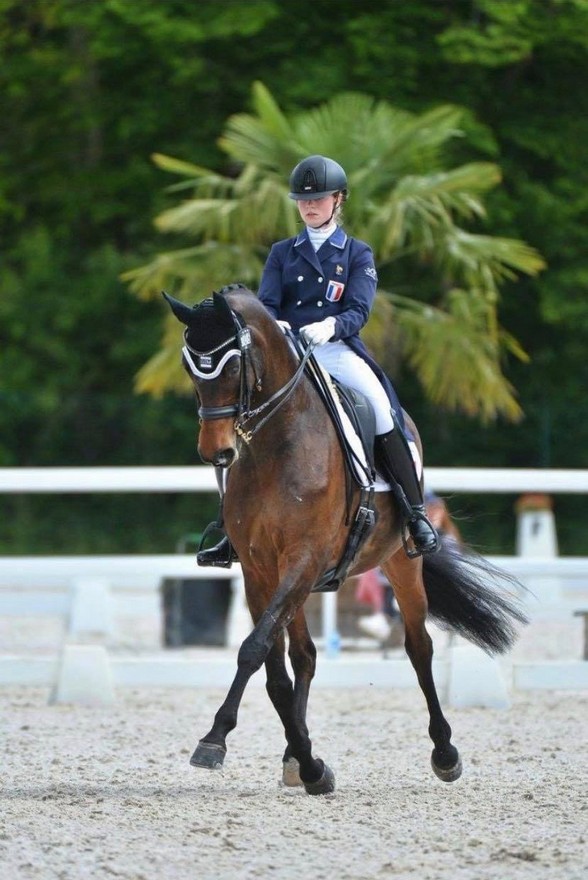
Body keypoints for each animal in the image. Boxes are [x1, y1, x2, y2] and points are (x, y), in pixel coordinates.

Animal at [163, 284, 524, 796]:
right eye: (190, 366)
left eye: (232, 365)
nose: (217, 452)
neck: (278, 443)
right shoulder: (259, 570)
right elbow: (272, 666)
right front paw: (309, 763)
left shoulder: (304, 559)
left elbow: (254, 649)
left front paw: (214, 739)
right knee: (305, 656)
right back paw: (297, 758)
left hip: (401, 563)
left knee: (419, 648)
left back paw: (445, 753)